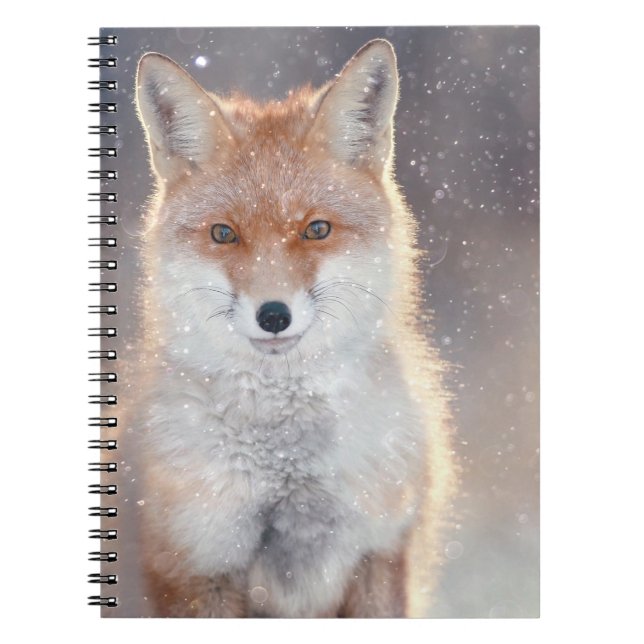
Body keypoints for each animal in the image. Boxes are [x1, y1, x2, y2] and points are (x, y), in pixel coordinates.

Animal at [132, 38, 456, 618]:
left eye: (317, 229)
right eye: (224, 234)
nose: (273, 315)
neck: (287, 465)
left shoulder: (380, 551)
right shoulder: (196, 563)